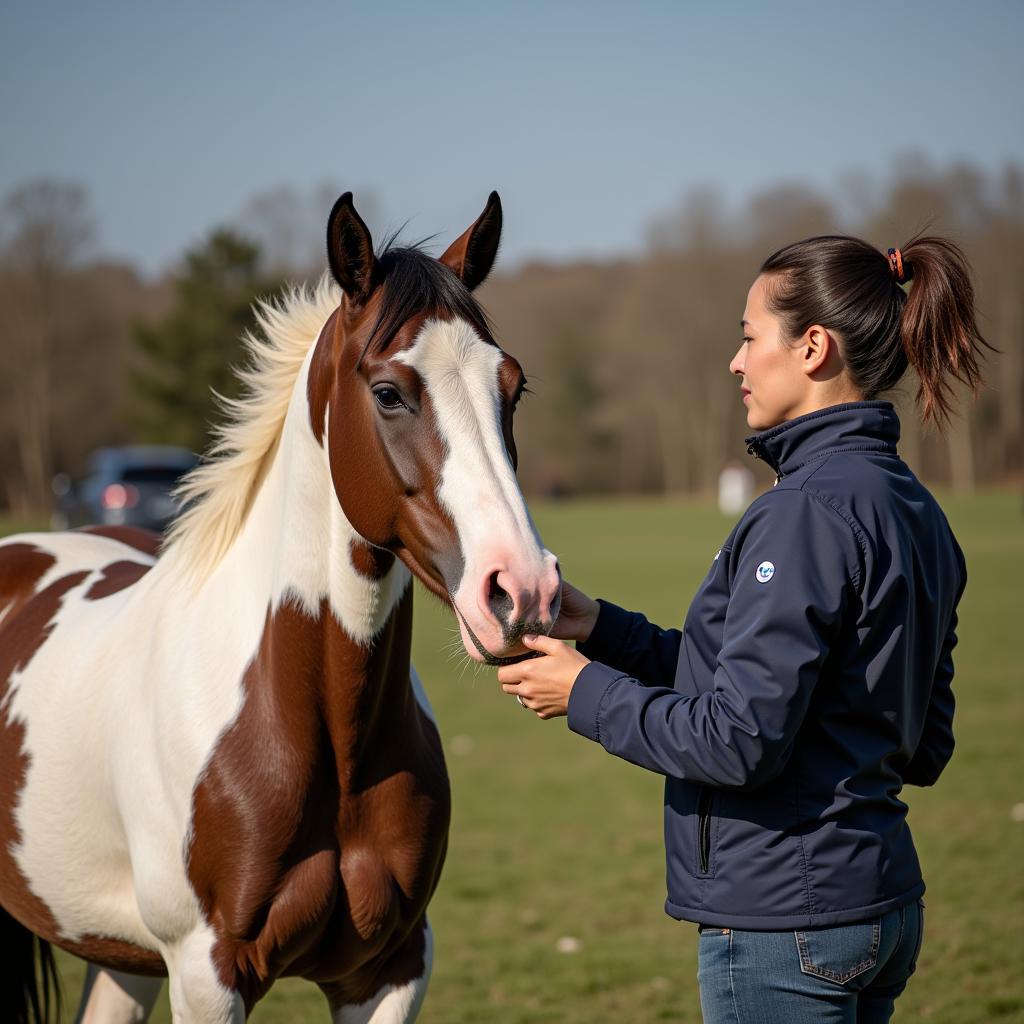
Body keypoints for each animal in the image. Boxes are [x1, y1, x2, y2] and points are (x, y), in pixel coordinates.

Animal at [0, 193, 561, 1024]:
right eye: (389, 393)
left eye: (513, 388)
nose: (522, 591)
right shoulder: (207, 975)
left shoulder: (392, 968)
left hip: (121, 957)